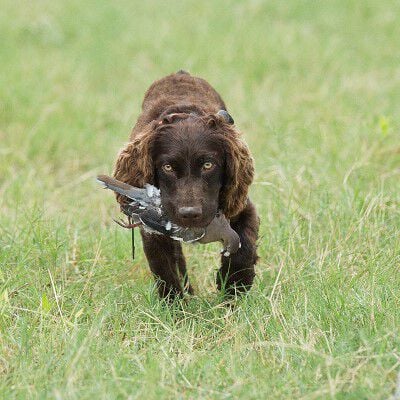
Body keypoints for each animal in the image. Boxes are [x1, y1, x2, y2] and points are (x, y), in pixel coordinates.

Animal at [112, 70, 260, 298]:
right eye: (167, 167)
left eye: (208, 164)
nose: (189, 214)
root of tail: (180, 73)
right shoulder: (153, 229)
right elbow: (165, 269)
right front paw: (175, 305)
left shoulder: (241, 206)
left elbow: (244, 247)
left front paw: (234, 289)